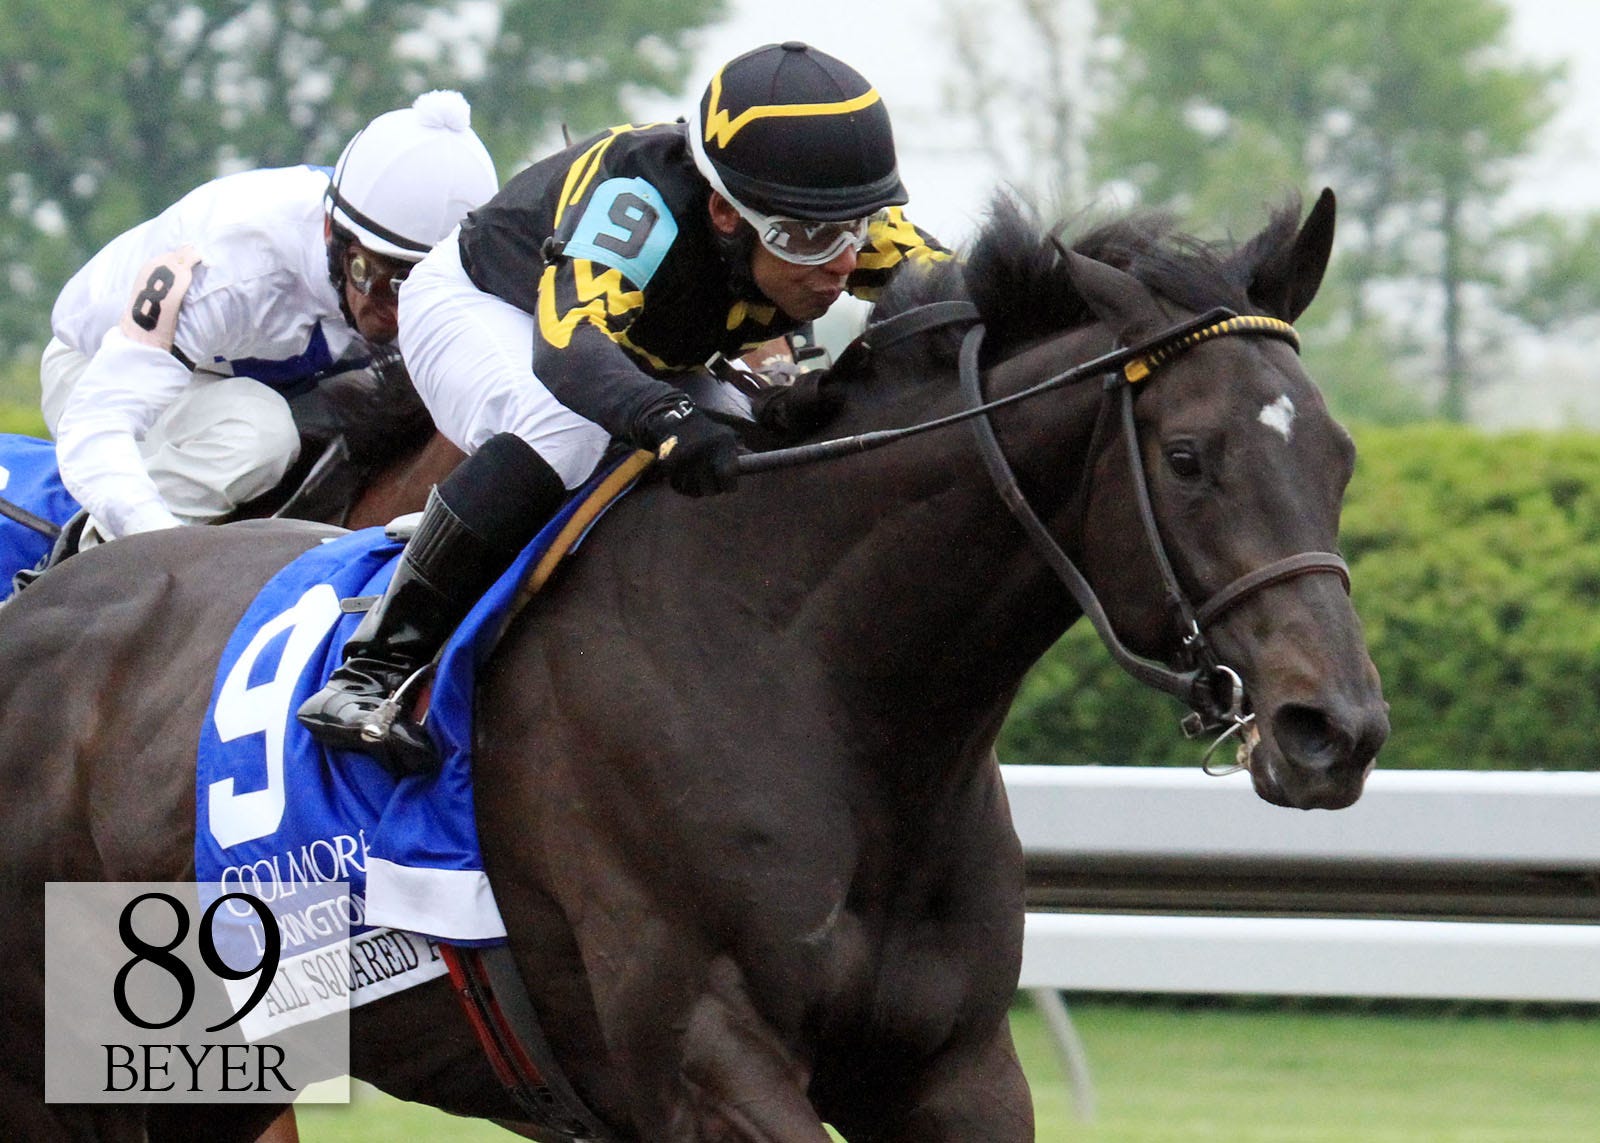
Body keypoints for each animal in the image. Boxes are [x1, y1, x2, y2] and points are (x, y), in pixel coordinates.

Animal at [0, 188, 1387, 1141]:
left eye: (1338, 455)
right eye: (1191, 457)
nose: (1335, 729)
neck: (820, 685)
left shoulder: (950, 1069)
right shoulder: (706, 1066)